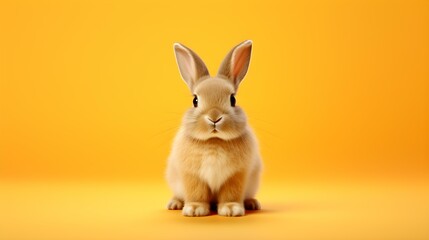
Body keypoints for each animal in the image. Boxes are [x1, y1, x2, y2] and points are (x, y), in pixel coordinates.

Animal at [166, 40, 260, 217]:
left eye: (233, 99)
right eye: (195, 100)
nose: (214, 117)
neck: (214, 141)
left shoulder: (235, 176)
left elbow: (231, 194)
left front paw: (231, 210)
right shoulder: (193, 176)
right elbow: (197, 193)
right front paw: (194, 210)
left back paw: (252, 203)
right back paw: (174, 204)